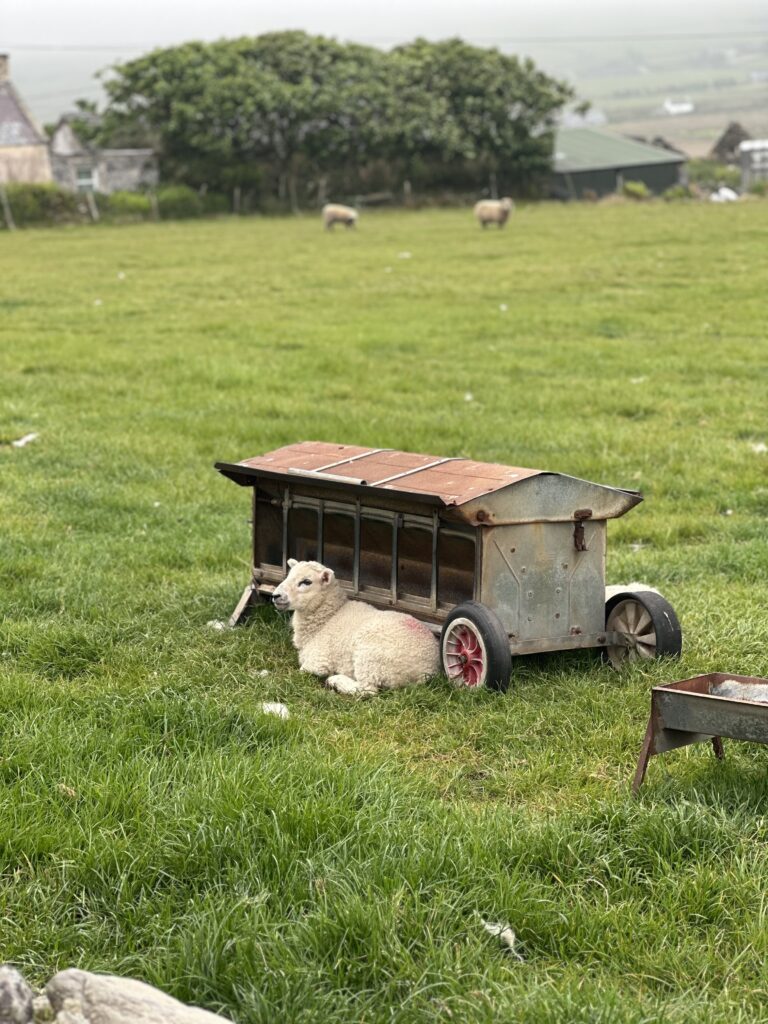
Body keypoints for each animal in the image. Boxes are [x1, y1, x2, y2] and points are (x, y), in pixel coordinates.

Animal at [271, 559, 439, 695]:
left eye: (306, 582)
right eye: (288, 575)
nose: (275, 596)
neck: (329, 616)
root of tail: (429, 668)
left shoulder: (319, 661)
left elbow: (302, 670)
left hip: (372, 656)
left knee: (367, 690)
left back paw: (336, 681)